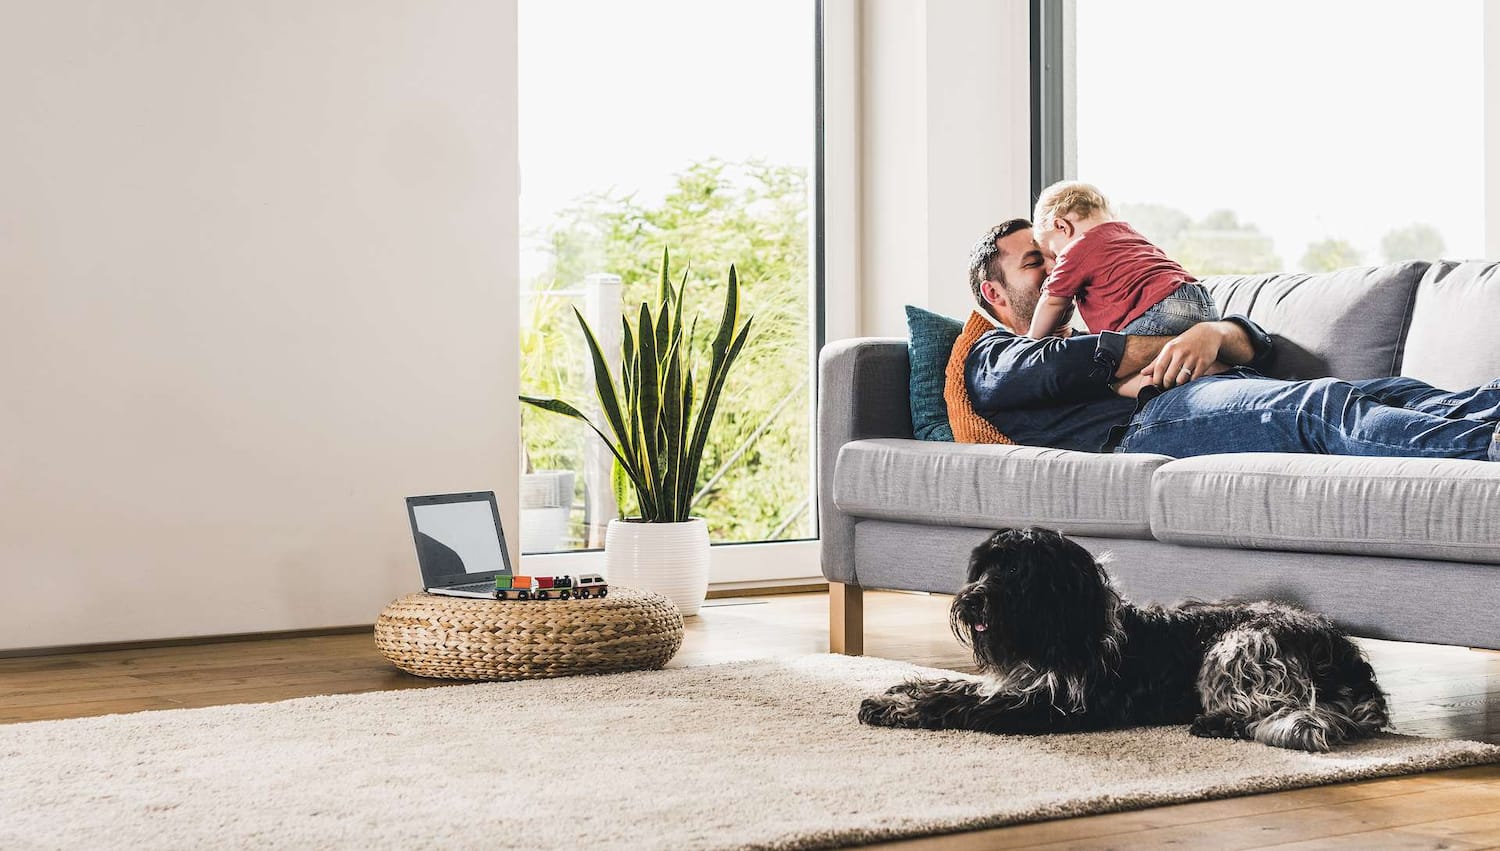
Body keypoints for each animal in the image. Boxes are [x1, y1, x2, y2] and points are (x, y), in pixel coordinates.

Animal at [864, 525, 1386, 753]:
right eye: (983, 567)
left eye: (1014, 572)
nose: (970, 602)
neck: (1059, 631)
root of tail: (1350, 662)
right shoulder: (1017, 684)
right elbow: (956, 686)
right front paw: (898, 691)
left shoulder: (1046, 707)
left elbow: (960, 704)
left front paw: (904, 707)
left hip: (1241, 644)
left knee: (1294, 713)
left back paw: (1218, 722)